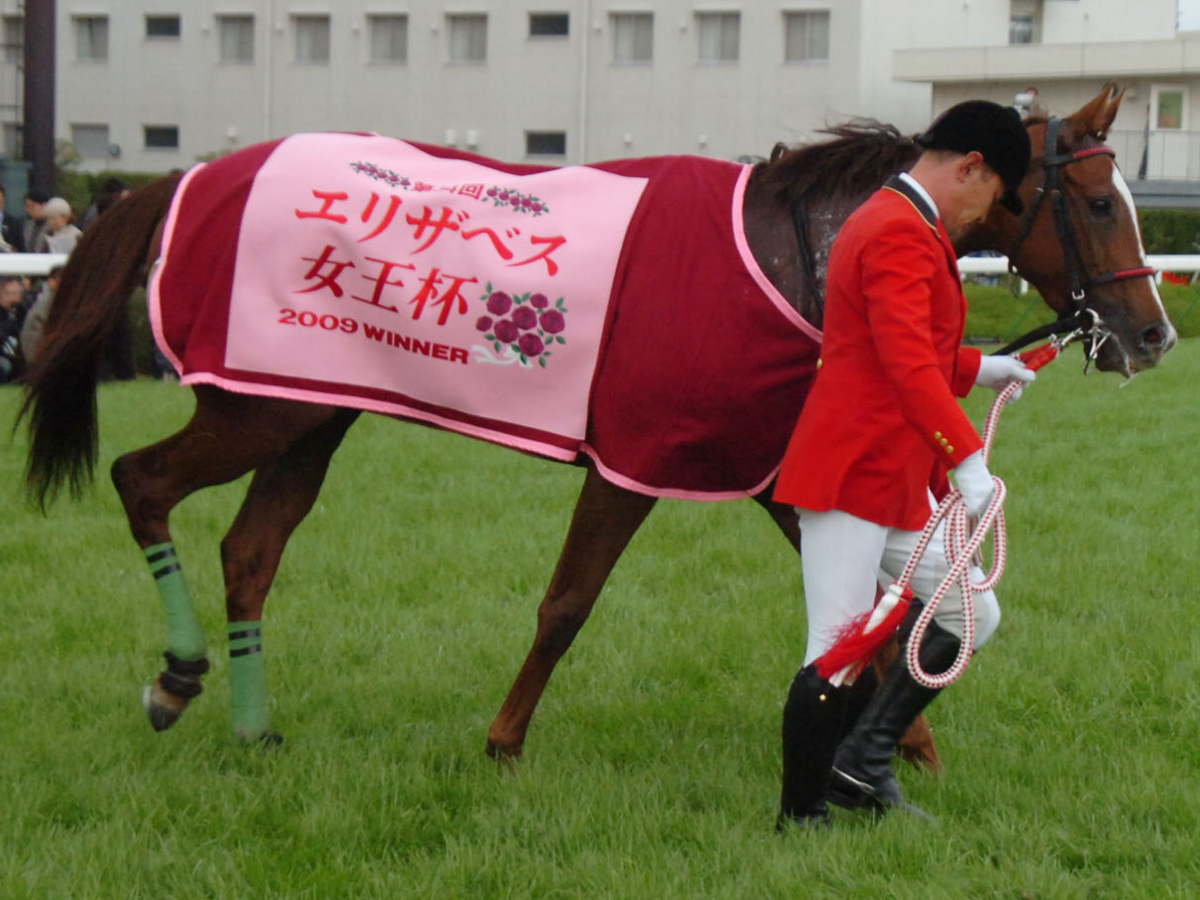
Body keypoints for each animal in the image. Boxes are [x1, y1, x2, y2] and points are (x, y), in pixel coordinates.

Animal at [23, 84, 1176, 763]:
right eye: (1101, 203)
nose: (1154, 331)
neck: (797, 248)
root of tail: (186, 175)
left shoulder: (769, 464)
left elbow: (884, 617)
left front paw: (901, 746)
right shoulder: (636, 457)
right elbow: (567, 603)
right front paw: (502, 740)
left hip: (309, 413)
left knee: (253, 547)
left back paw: (252, 725)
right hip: (258, 405)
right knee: (142, 481)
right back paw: (177, 678)